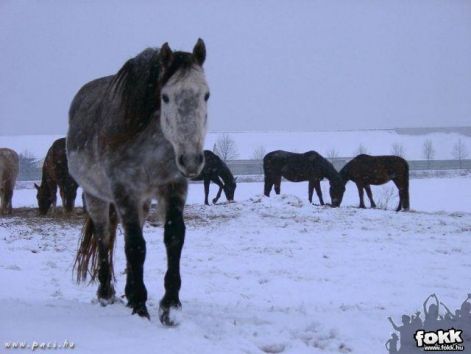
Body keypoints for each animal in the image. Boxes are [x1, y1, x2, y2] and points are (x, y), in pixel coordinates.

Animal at [67, 39, 209, 326]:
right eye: (165, 97)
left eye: (206, 95)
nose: (191, 160)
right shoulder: (125, 192)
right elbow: (135, 246)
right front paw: (141, 307)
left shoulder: (173, 187)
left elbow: (173, 237)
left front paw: (170, 307)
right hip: (96, 198)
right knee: (105, 238)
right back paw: (106, 293)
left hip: (142, 202)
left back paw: (129, 293)